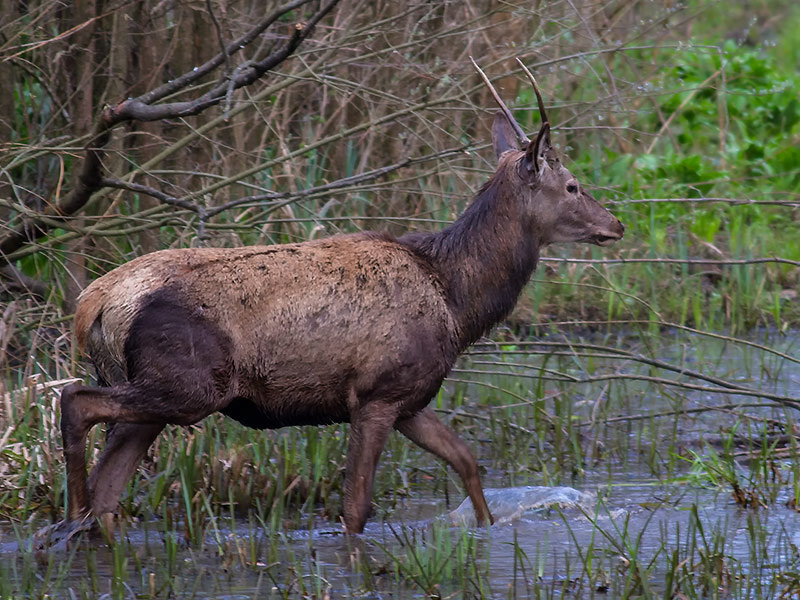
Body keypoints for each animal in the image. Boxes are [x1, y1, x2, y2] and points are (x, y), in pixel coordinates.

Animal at [56, 61, 620, 540]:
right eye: (573, 186)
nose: (614, 224)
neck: (457, 303)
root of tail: (93, 305)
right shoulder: (376, 393)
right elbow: (355, 508)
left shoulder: (409, 396)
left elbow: (465, 459)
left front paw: (486, 530)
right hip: (189, 382)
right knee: (76, 404)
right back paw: (70, 514)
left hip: (153, 389)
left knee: (108, 491)